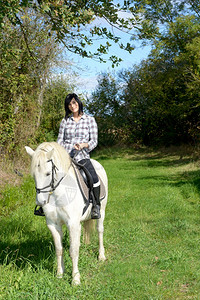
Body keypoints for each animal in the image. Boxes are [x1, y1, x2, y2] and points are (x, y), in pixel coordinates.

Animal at [25, 142, 108, 284]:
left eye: (48, 174)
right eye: (34, 175)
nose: (40, 201)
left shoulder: (73, 224)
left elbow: (73, 250)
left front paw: (75, 279)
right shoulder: (53, 225)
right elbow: (59, 249)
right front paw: (59, 274)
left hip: (101, 211)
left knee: (100, 230)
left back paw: (101, 256)